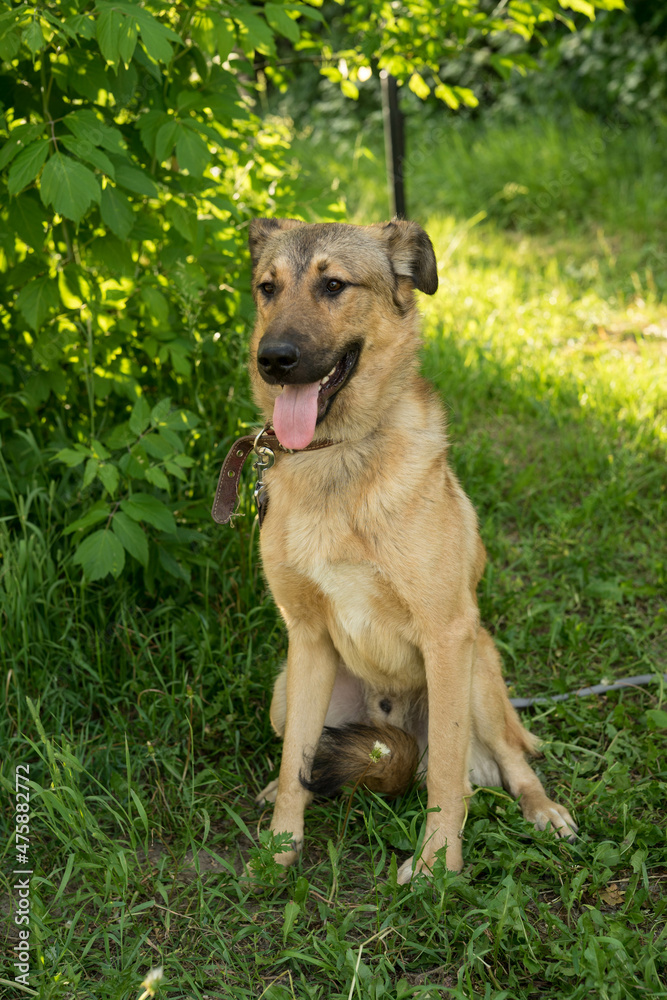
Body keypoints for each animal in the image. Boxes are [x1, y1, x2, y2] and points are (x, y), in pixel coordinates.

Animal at [243, 215, 576, 880]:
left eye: (334, 285)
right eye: (268, 288)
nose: (274, 360)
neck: (338, 458)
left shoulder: (447, 636)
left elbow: (447, 776)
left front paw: (436, 868)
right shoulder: (306, 638)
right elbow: (295, 767)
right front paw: (280, 847)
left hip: (478, 670)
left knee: (507, 761)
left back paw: (544, 812)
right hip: (285, 691)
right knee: (303, 751)